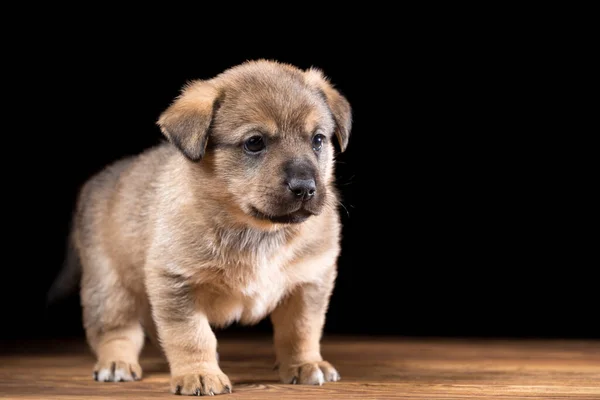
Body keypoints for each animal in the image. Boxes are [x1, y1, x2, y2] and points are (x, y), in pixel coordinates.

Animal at [71, 57, 352, 396]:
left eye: (318, 139)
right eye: (254, 143)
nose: (305, 188)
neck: (257, 230)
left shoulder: (309, 280)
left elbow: (301, 330)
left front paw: (304, 364)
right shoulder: (176, 282)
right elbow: (191, 335)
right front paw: (199, 373)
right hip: (109, 286)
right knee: (117, 330)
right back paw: (117, 363)